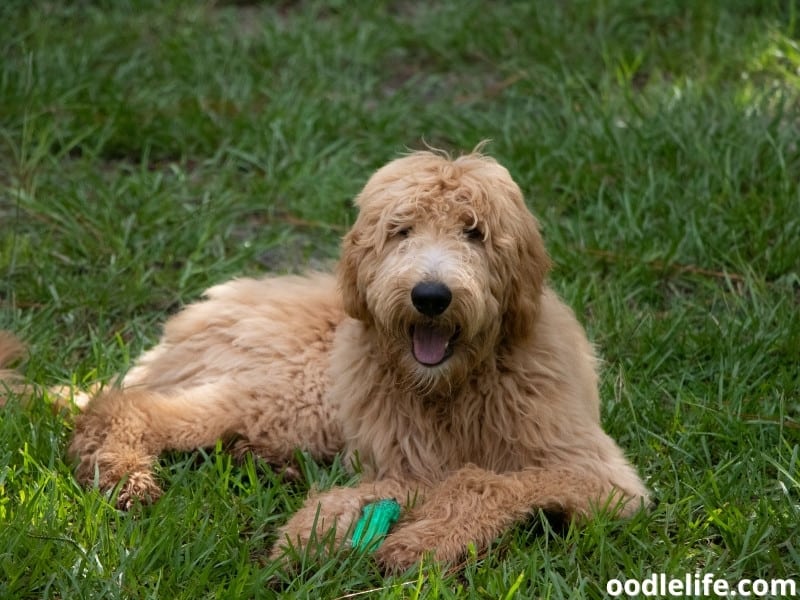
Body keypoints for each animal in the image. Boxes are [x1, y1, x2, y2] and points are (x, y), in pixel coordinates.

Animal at [0, 151, 648, 572]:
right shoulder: (398, 454)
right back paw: (126, 476)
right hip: (296, 394)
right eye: (401, 231)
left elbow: (482, 480)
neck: (452, 387)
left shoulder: (599, 477)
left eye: (475, 232)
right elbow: (426, 484)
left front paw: (415, 539)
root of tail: (199, 315)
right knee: (123, 407)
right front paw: (319, 532)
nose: (430, 296)